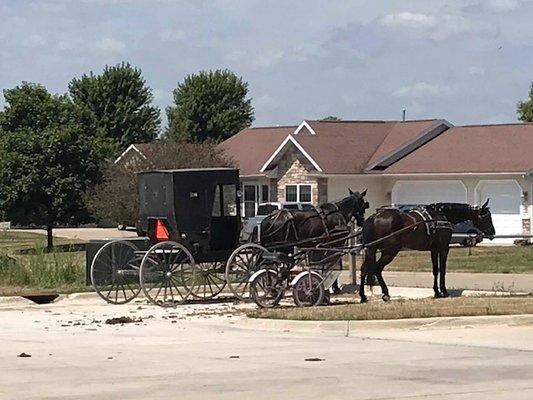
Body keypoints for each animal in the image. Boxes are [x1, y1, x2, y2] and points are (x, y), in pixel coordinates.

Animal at [358, 200, 494, 304]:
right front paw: (444, 291)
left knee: (365, 268)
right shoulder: (444, 248)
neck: (441, 216)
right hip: (389, 251)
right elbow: (442, 269)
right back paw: (385, 294)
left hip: (372, 249)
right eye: (487, 217)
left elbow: (435, 270)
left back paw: (363, 296)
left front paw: (437, 292)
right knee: (377, 268)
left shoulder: (434, 249)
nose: (492, 232)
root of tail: (373, 217)